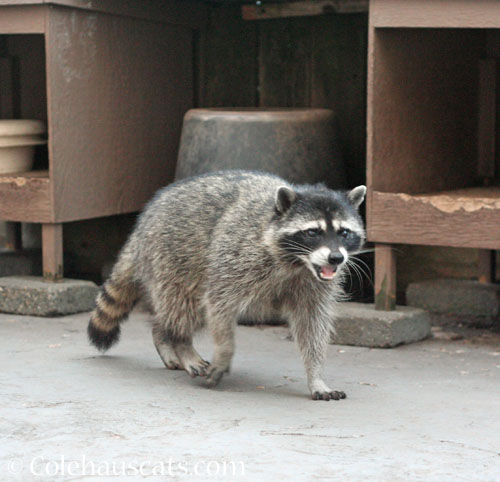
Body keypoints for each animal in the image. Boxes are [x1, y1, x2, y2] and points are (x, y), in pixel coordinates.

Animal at [88, 171, 366, 402]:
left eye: (343, 232)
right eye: (312, 232)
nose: (336, 258)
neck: (299, 263)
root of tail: (143, 222)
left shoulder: (314, 287)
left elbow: (313, 326)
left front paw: (316, 375)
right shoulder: (237, 257)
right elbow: (219, 304)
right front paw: (223, 352)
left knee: (170, 312)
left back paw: (163, 336)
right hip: (174, 254)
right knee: (184, 304)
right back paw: (181, 344)